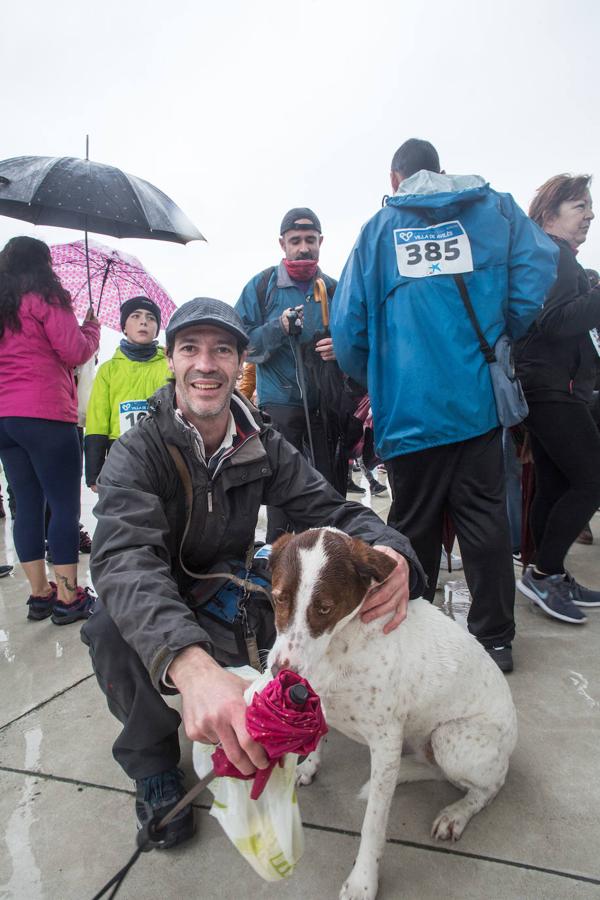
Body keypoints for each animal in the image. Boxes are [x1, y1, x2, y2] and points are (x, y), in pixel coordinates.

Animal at [268, 528, 516, 900]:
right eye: (278, 599)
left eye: (324, 608)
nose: (280, 672)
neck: (341, 642)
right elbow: (319, 739)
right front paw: (308, 767)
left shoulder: (385, 742)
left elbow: (373, 825)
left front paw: (363, 881)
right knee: (436, 770)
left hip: (451, 739)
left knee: (489, 788)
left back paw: (456, 814)